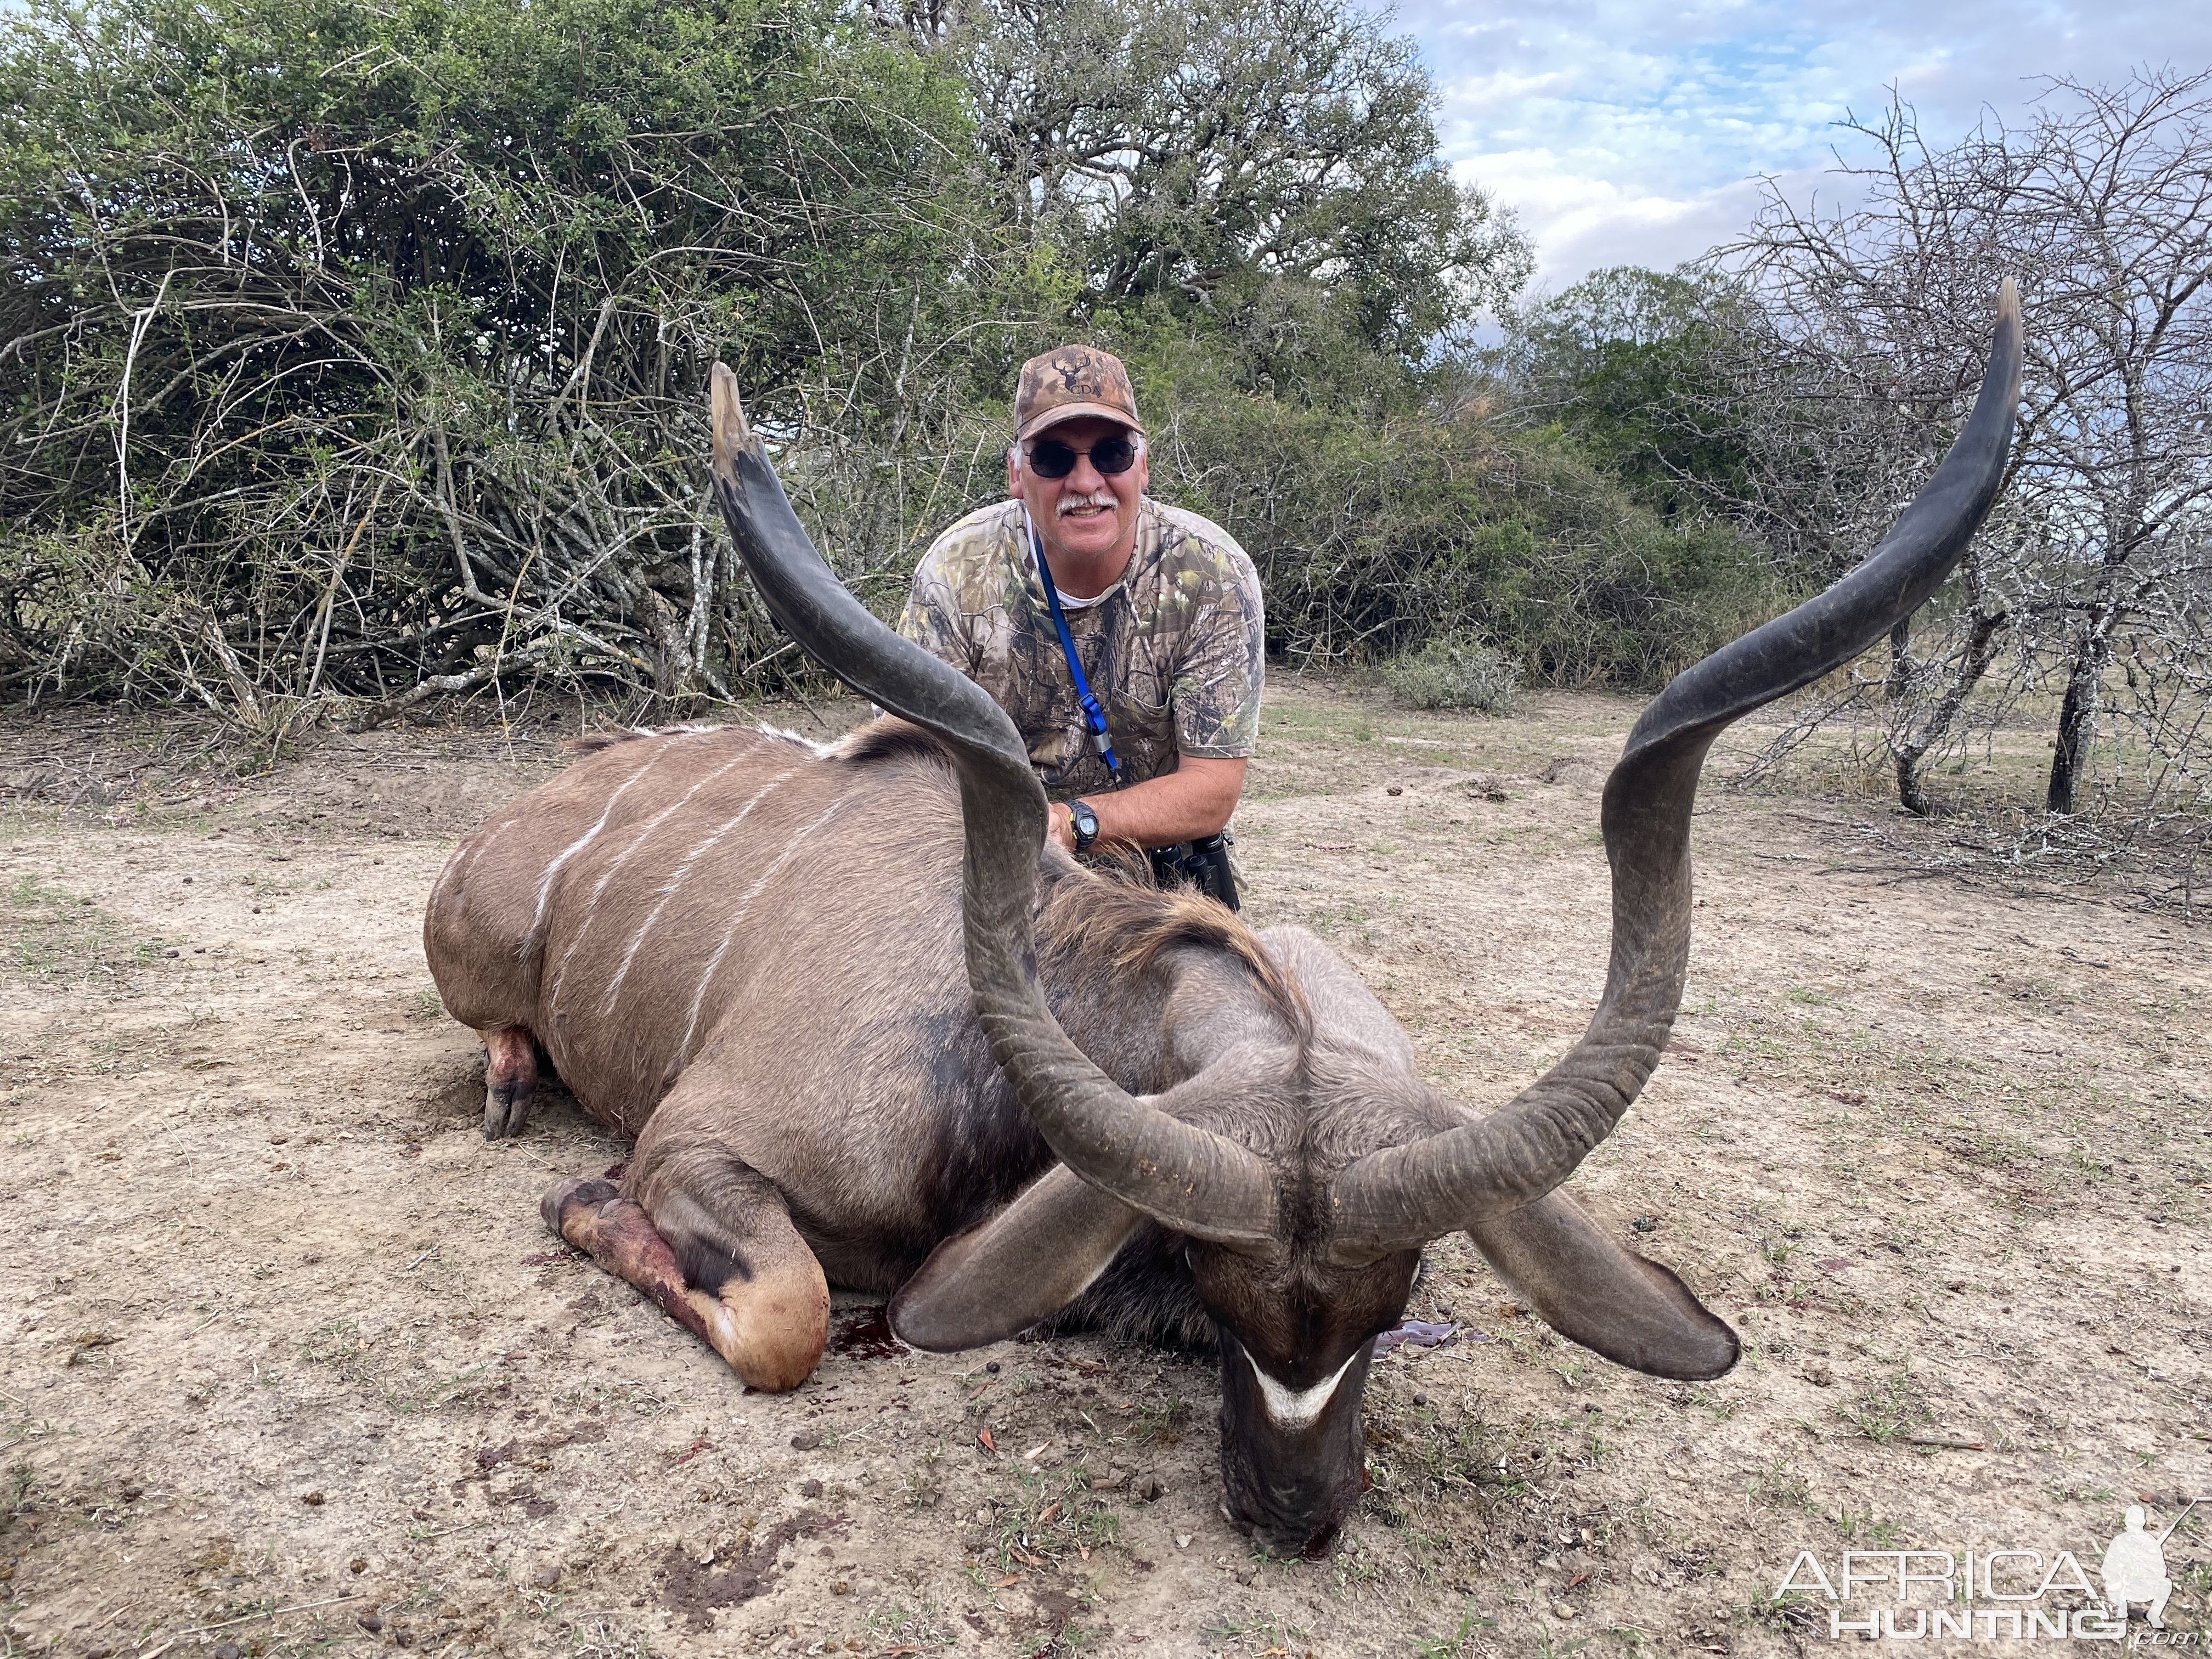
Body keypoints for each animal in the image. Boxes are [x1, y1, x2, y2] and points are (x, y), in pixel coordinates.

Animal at [427, 285, 2026, 1557]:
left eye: (1390, 1309)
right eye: (1216, 1277)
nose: (1294, 1516)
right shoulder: (699, 1142)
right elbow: (789, 1318)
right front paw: (586, 1204)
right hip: (476, 964)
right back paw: (509, 1082)